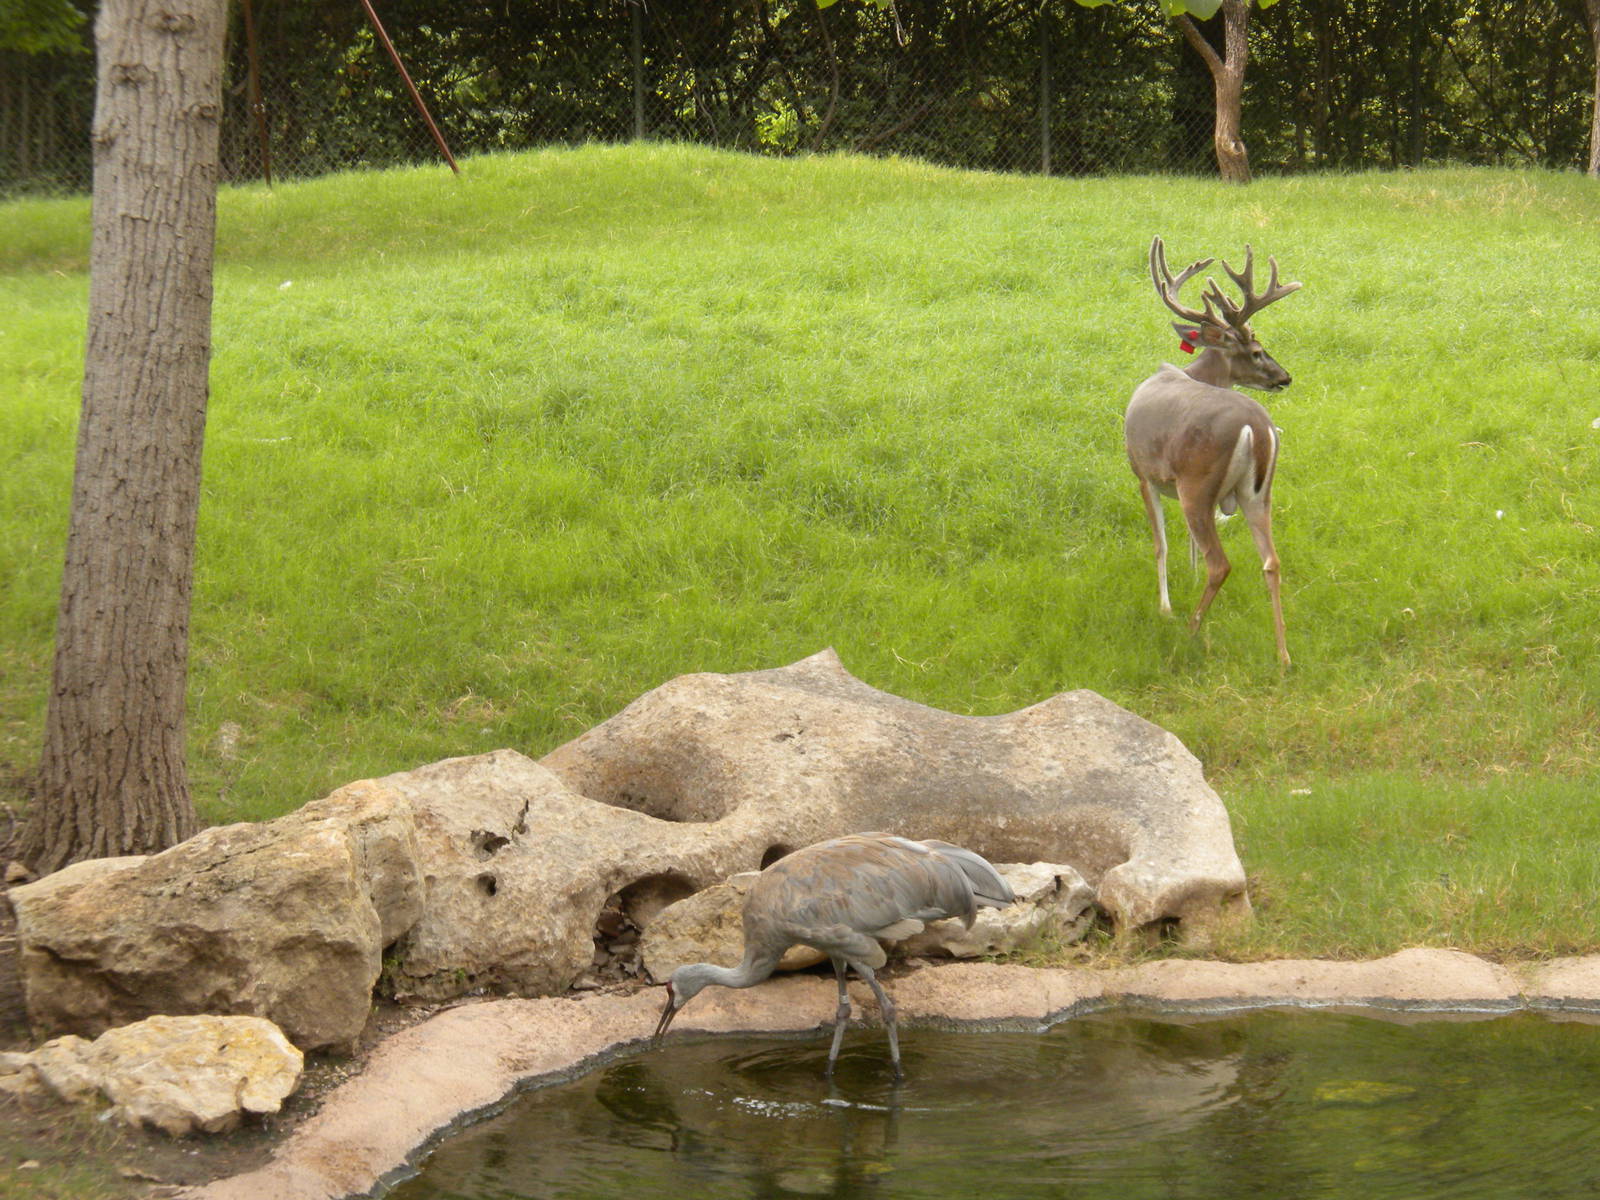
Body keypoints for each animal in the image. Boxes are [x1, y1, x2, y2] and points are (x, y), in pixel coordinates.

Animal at [1125, 236, 1302, 668]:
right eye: (1257, 351)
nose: (1285, 377)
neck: (1189, 373)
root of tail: (1258, 427)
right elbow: (1187, 545)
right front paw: (1186, 581)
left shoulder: (1144, 473)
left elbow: (1161, 543)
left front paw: (1165, 608)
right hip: (1257, 494)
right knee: (1271, 561)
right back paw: (1283, 655)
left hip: (1197, 483)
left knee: (1220, 563)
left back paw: (1191, 629)